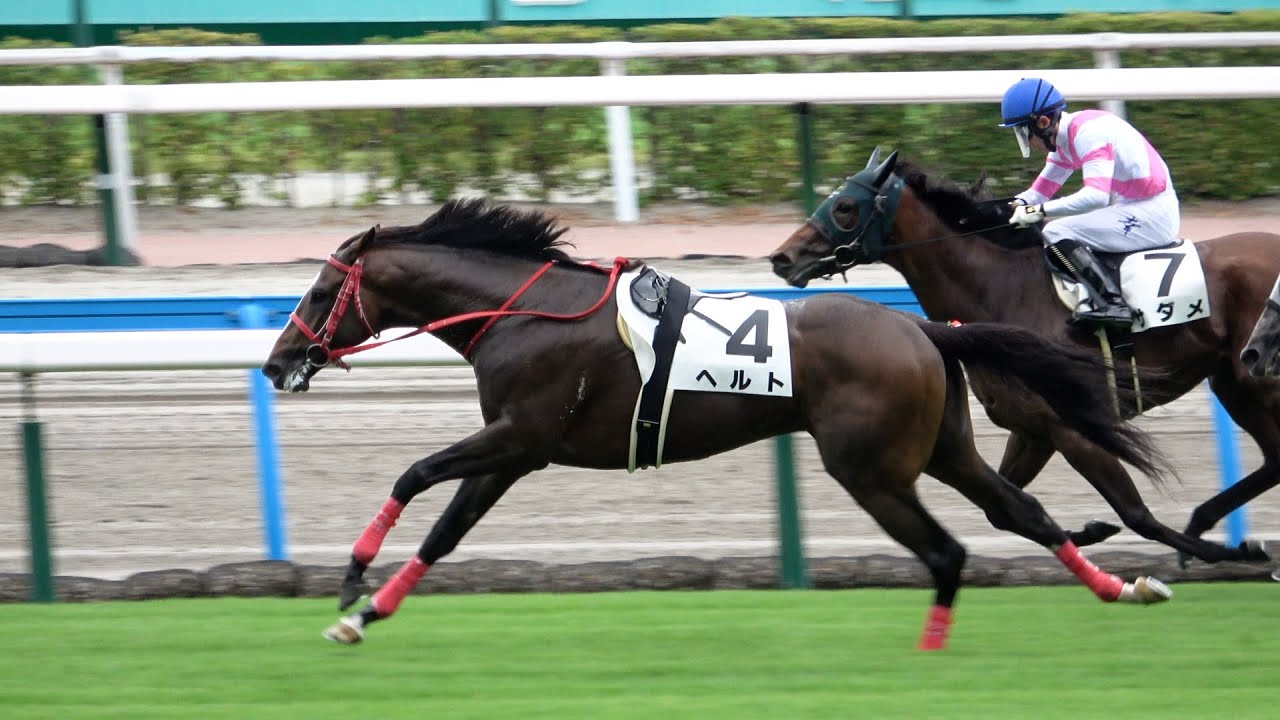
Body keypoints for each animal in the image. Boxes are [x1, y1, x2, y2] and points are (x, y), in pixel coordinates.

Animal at [262, 198, 1173, 650]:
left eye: (319, 292)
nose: (277, 363)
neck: (524, 311)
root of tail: (923, 329)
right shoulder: (512, 453)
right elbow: (445, 531)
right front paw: (363, 614)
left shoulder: (521, 438)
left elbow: (412, 474)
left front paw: (351, 578)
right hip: (942, 449)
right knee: (1023, 513)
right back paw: (1124, 585)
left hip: (871, 467)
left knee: (948, 551)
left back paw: (930, 652)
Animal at [769, 148, 1278, 567]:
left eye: (844, 206)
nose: (781, 258)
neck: (1000, 288)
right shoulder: (1032, 429)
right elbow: (1005, 508)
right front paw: (1091, 529)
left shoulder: (1072, 427)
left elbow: (1137, 515)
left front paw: (1227, 554)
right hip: (1236, 381)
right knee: (1273, 460)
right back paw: (1203, 519)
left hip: (1256, 380)